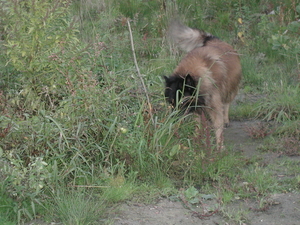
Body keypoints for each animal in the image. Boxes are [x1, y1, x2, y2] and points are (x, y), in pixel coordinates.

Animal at [164, 20, 241, 149]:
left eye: (182, 101)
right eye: (171, 102)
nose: (173, 120)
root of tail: (215, 40)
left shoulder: (214, 107)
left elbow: (218, 127)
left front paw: (219, 147)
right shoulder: (196, 107)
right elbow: (197, 125)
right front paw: (196, 140)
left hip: (230, 89)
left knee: (226, 104)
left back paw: (226, 120)